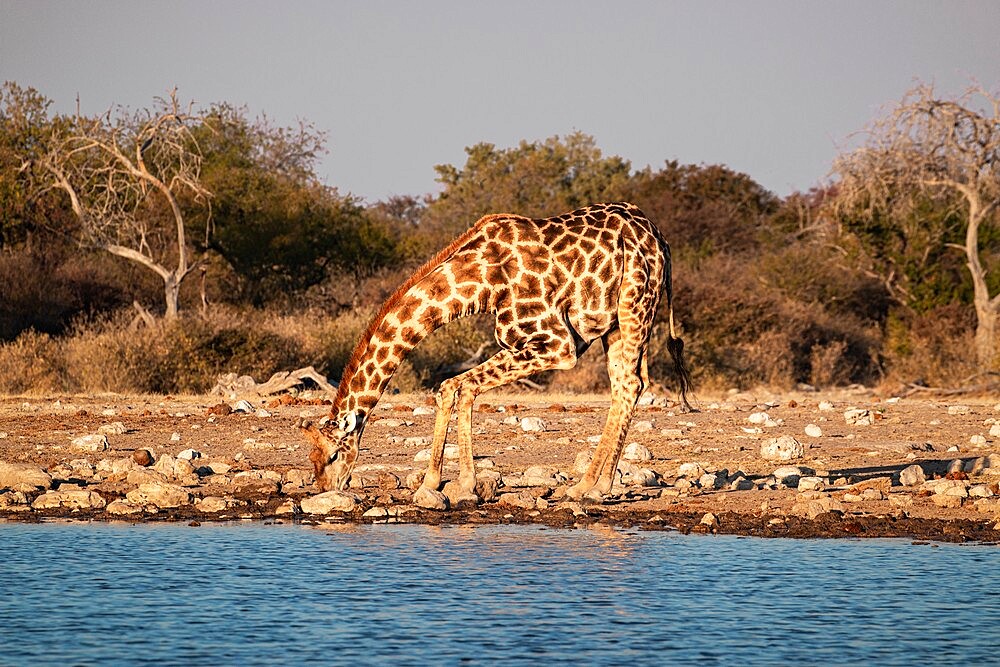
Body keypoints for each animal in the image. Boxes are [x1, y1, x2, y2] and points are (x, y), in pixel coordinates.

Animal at [300, 202, 692, 506]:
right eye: (312, 456)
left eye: (334, 454)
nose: (326, 489)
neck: (480, 282)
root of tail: (662, 241)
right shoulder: (534, 342)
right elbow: (450, 387)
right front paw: (437, 483)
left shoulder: (557, 344)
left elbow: (465, 387)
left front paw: (463, 484)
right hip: (613, 324)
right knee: (626, 385)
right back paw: (596, 484)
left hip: (634, 304)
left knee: (631, 383)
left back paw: (589, 487)